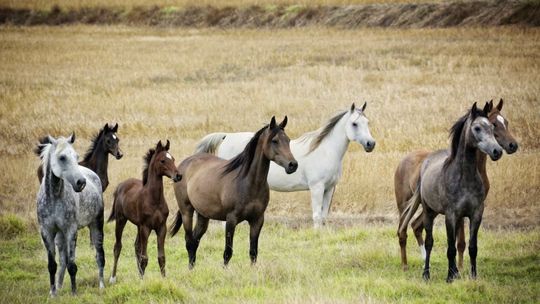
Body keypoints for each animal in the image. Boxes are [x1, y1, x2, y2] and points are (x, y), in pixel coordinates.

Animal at [35, 134, 105, 296]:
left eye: (76, 156)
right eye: (62, 157)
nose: (81, 182)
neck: (54, 197)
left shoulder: (71, 230)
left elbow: (72, 265)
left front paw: (74, 293)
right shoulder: (47, 232)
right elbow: (52, 265)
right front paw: (53, 293)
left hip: (96, 225)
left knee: (99, 256)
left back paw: (101, 285)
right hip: (60, 236)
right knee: (62, 261)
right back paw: (59, 286)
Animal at [107, 140, 181, 282]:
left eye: (173, 159)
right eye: (162, 160)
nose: (178, 176)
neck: (154, 200)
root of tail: (120, 186)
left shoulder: (161, 227)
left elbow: (161, 257)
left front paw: (163, 279)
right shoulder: (146, 227)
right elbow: (144, 258)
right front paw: (142, 281)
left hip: (138, 226)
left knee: (136, 246)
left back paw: (138, 274)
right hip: (121, 220)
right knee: (117, 246)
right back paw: (112, 278)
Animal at [170, 116, 298, 268]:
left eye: (288, 140)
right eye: (275, 141)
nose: (293, 165)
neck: (247, 183)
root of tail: (183, 165)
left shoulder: (257, 220)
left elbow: (253, 252)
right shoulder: (231, 220)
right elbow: (227, 252)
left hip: (203, 215)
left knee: (195, 241)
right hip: (186, 212)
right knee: (189, 241)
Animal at [194, 103, 376, 227]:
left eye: (367, 122)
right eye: (354, 124)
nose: (371, 144)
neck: (326, 151)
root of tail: (226, 136)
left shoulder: (329, 188)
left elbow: (323, 216)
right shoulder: (317, 187)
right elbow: (317, 216)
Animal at [396, 98, 520, 270]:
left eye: (506, 122)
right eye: (495, 123)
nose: (512, 145)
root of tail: (404, 160)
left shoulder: (472, 208)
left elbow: (459, 241)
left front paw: (459, 268)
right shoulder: (456, 211)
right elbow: (459, 241)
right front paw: (459, 268)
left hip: (431, 208)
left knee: (416, 226)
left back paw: (424, 261)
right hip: (404, 205)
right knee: (402, 231)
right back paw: (405, 265)